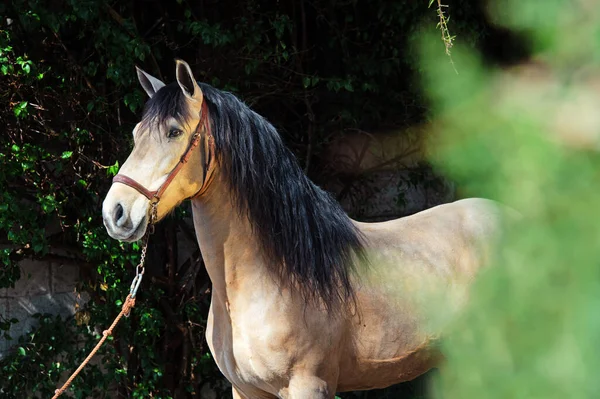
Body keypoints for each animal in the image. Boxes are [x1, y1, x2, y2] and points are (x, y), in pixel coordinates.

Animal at [102, 60, 506, 399]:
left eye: (173, 132)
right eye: (137, 133)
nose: (114, 213)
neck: (269, 275)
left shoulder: (308, 387)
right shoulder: (245, 391)